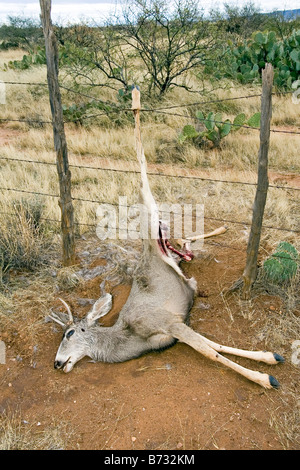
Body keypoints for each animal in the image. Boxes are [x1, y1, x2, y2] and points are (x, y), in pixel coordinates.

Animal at [49, 87, 284, 390]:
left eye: (69, 333)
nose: (57, 363)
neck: (129, 338)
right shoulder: (177, 326)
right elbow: (214, 345)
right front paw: (269, 359)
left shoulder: (169, 322)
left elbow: (210, 350)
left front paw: (265, 376)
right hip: (171, 248)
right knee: (184, 243)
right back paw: (220, 231)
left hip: (149, 214)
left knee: (142, 167)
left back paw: (135, 98)